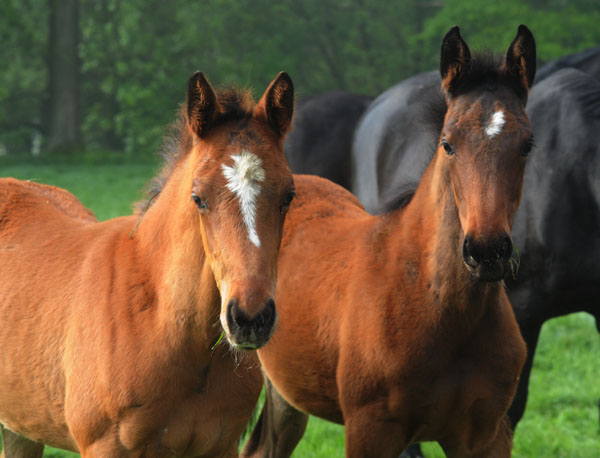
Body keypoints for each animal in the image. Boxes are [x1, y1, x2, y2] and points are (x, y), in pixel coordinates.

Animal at [0, 70, 296, 456]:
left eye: (289, 195)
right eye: (198, 198)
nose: (249, 317)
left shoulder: (221, 446)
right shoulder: (105, 446)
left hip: (21, 427)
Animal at [241, 26, 536, 458]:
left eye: (527, 145)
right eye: (447, 143)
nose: (486, 251)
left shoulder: (487, 435)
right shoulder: (371, 430)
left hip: (286, 394)